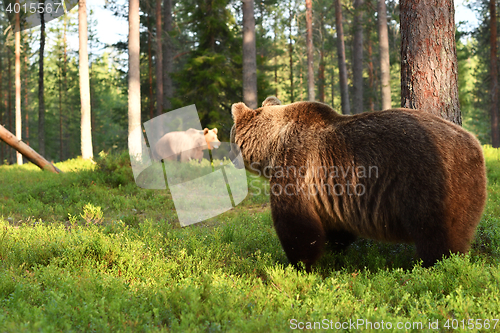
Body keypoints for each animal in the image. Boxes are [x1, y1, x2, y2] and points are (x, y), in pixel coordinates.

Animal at [231, 95, 488, 270]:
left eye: (231, 135)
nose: (231, 160)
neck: (272, 147)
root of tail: (474, 145)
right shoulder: (331, 191)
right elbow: (336, 226)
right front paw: (334, 249)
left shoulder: (297, 163)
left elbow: (296, 222)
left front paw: (299, 264)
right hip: (464, 191)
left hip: (429, 182)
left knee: (435, 235)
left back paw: (435, 265)